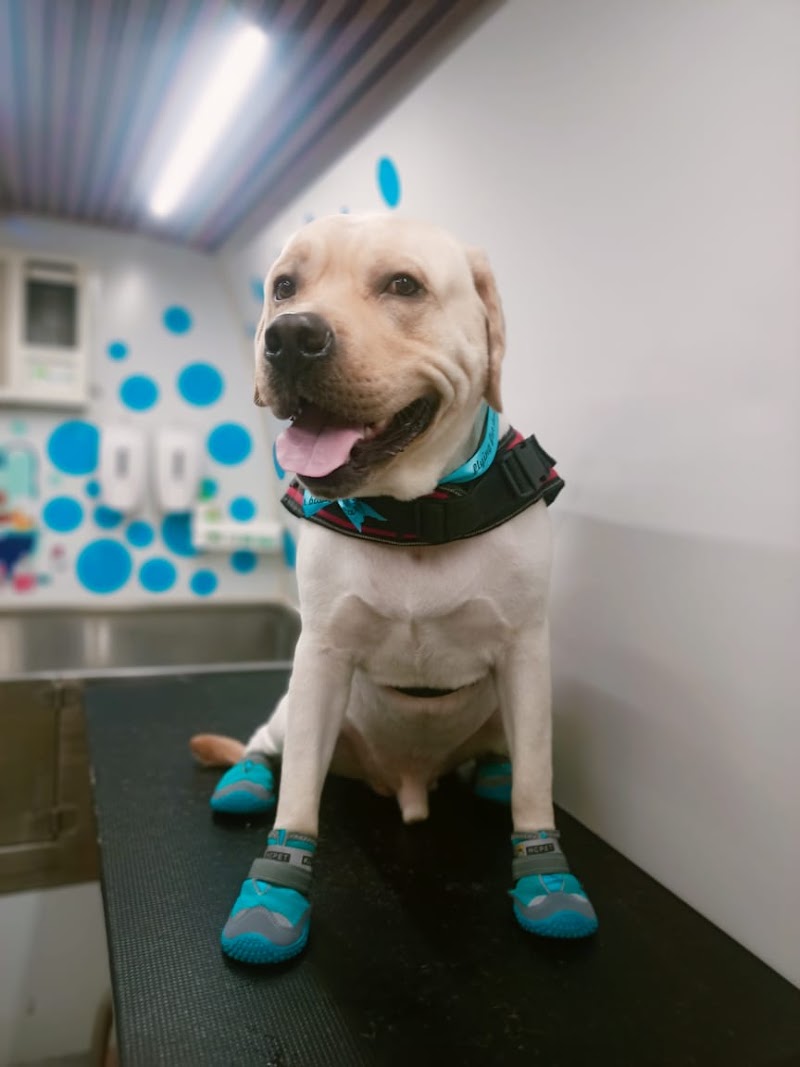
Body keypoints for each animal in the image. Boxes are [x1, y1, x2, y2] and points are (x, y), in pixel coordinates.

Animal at [191, 214, 598, 964]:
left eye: (404, 285)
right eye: (284, 287)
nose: (289, 336)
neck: (414, 515)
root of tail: (403, 782)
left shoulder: (526, 654)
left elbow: (536, 780)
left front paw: (545, 875)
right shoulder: (320, 659)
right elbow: (299, 797)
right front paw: (274, 894)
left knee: (505, 754)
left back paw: (492, 774)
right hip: (297, 710)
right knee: (267, 743)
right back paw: (245, 777)